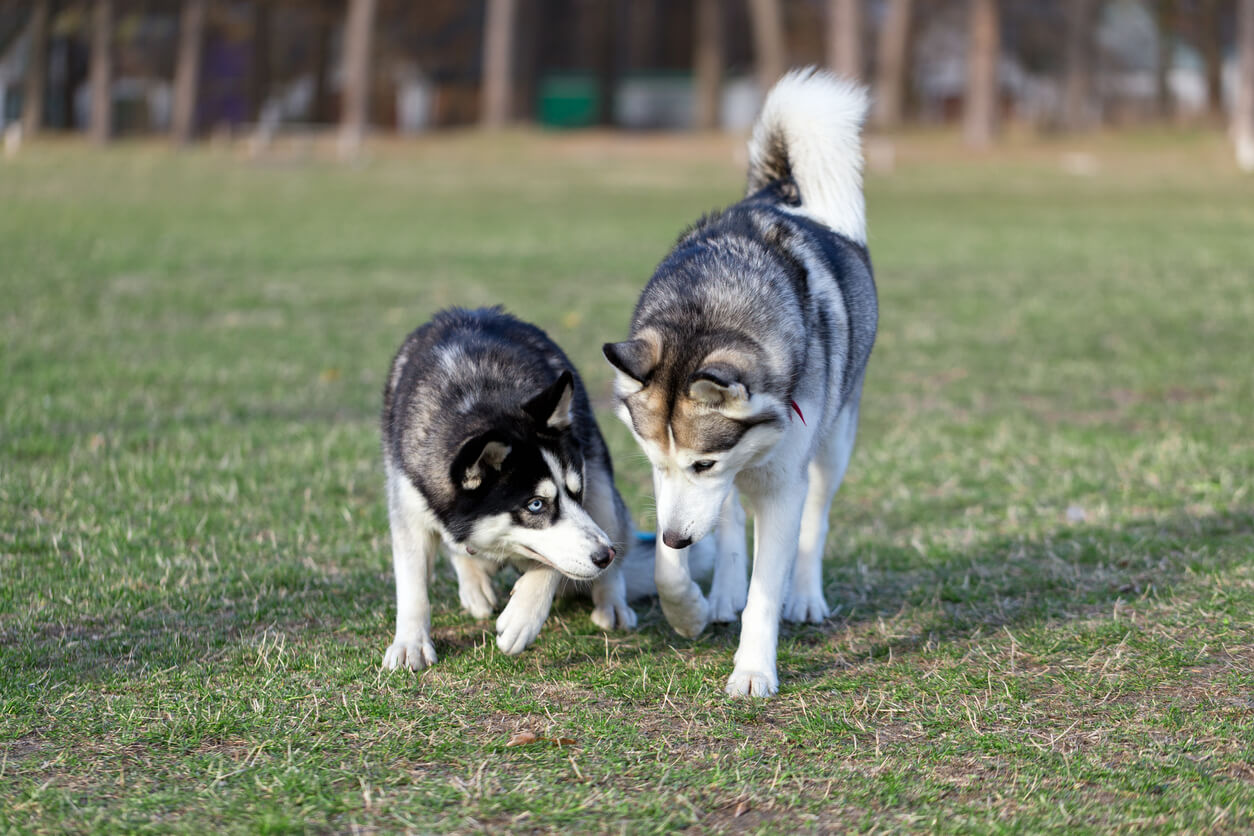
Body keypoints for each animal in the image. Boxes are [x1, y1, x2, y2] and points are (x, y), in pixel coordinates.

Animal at [378, 309, 637, 671]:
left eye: (576, 492)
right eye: (536, 505)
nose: (605, 555)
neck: (477, 394)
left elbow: (554, 560)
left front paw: (524, 617)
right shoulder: (409, 504)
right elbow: (413, 585)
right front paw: (410, 642)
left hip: (600, 481)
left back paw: (611, 602)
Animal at [601, 68, 877, 701]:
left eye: (703, 463)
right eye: (656, 462)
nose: (676, 537)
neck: (708, 312)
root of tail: (778, 190)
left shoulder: (778, 487)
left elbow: (767, 591)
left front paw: (753, 670)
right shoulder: (676, 492)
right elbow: (670, 563)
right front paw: (688, 611)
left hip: (835, 443)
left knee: (815, 520)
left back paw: (805, 597)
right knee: (725, 525)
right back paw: (722, 591)